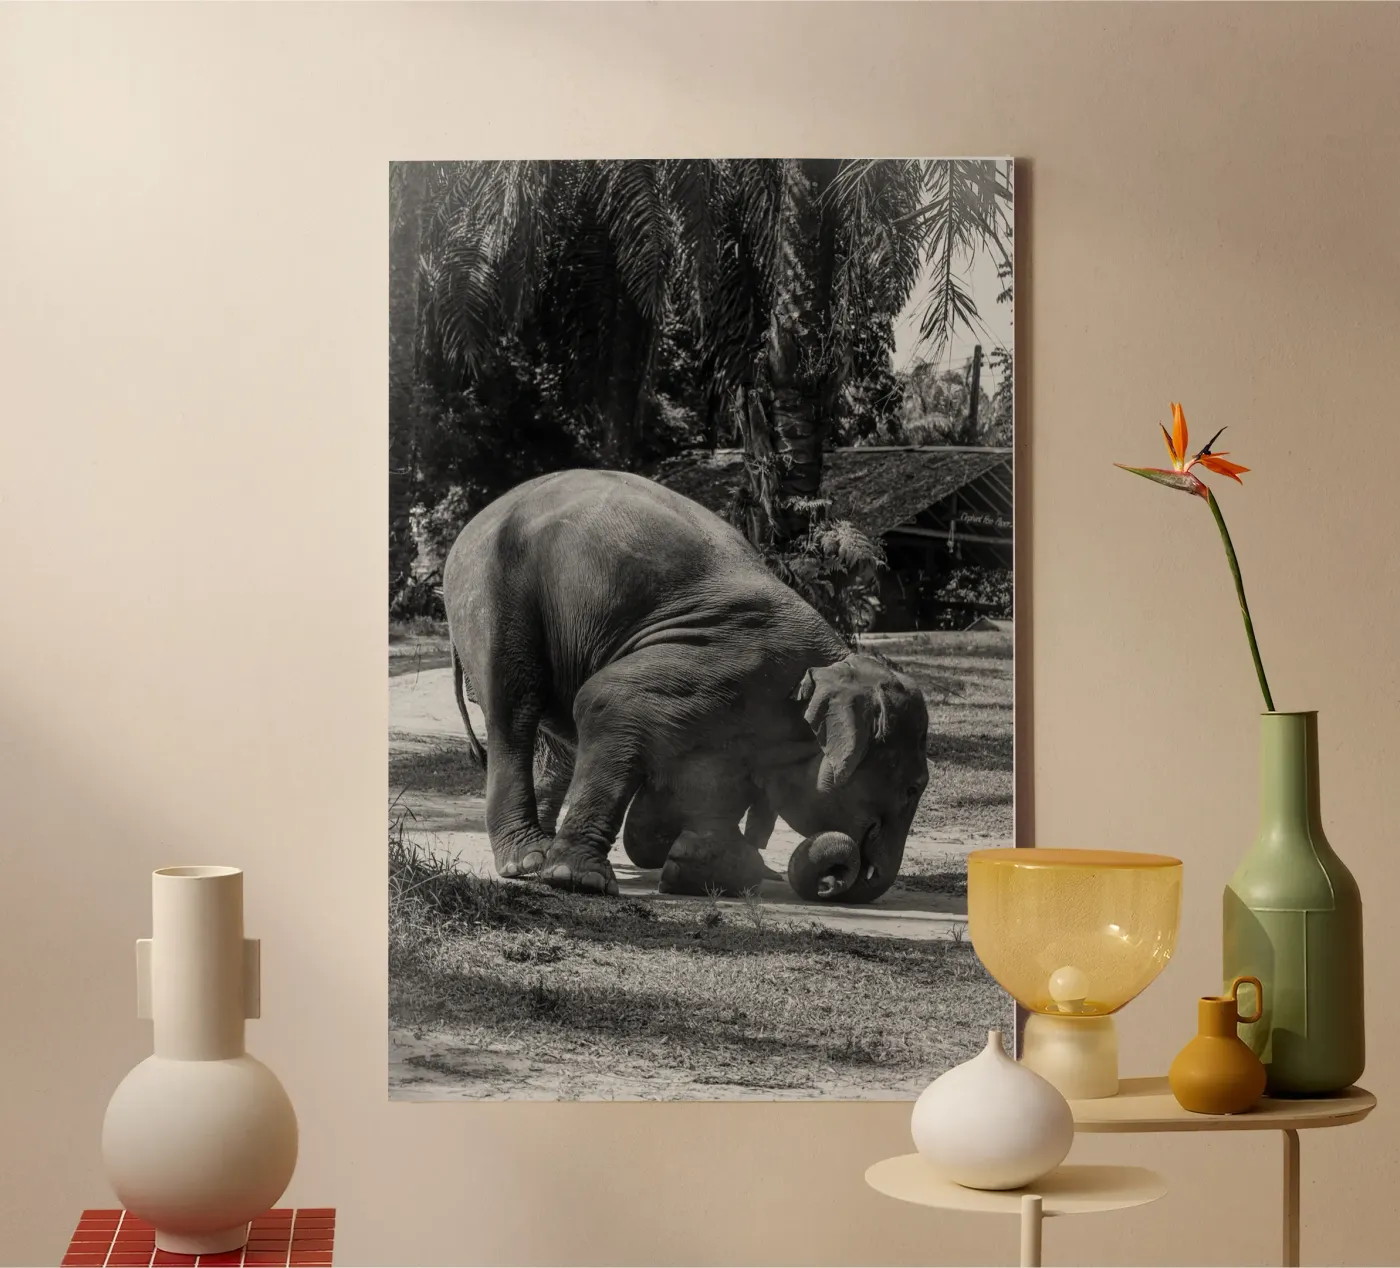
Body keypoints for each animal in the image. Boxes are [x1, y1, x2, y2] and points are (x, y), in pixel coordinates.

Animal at [443, 468, 929, 903]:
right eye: (912, 788)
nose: (835, 882)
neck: (832, 663)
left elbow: (696, 785)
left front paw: (693, 862)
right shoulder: (723, 663)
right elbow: (604, 701)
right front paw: (581, 881)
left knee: (558, 746)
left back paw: (540, 854)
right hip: (493, 595)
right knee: (515, 709)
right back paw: (527, 860)